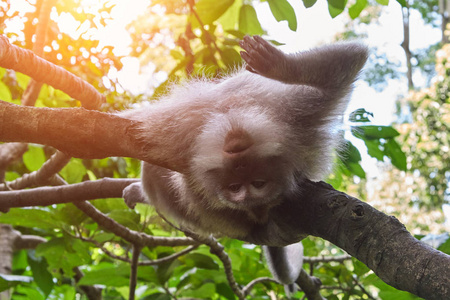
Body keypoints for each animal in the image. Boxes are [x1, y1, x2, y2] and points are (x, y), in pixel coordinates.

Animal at [120, 35, 370, 292]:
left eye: (258, 184)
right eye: (234, 187)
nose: (249, 202)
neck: (231, 118)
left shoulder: (300, 124)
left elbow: (351, 55)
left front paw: (281, 66)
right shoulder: (171, 131)